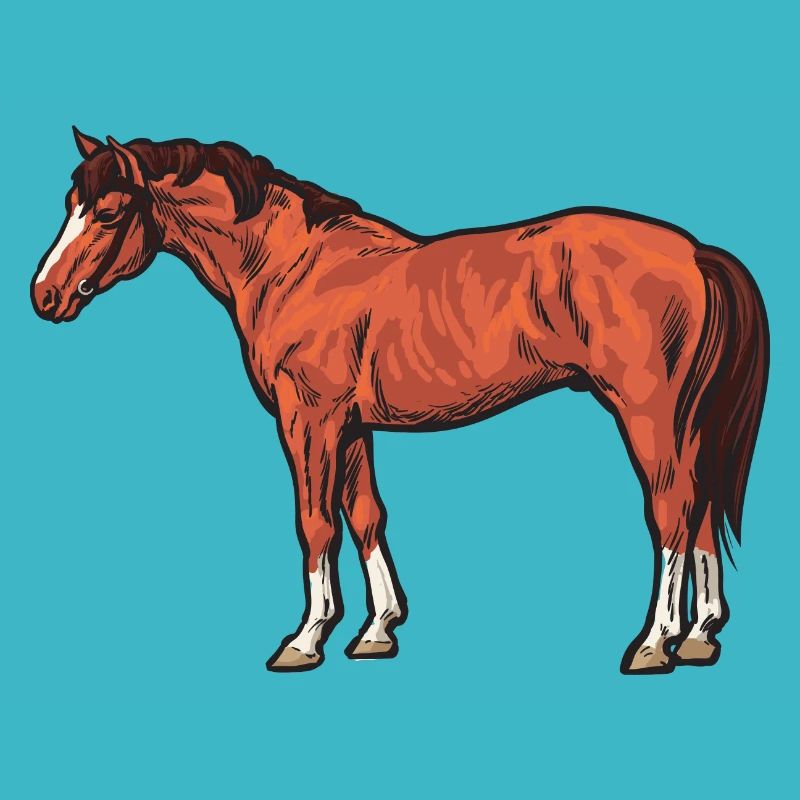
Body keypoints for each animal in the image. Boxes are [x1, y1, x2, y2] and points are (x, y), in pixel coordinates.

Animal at [31, 128, 769, 674]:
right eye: (70, 202)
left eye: (108, 210)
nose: (44, 296)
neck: (294, 267)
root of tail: (695, 252)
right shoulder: (352, 426)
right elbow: (365, 516)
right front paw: (376, 631)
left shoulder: (309, 419)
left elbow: (315, 523)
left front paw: (305, 640)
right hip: (686, 421)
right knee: (701, 508)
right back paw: (699, 636)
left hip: (647, 413)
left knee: (671, 511)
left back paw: (654, 643)